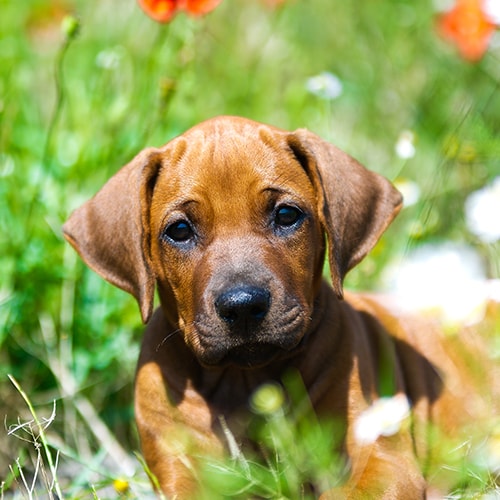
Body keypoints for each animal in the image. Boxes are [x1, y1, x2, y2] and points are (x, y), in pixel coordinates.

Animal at [62, 116, 496, 496]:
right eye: (180, 230)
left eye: (286, 215)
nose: (242, 306)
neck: (244, 382)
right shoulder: (181, 470)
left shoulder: (380, 459)